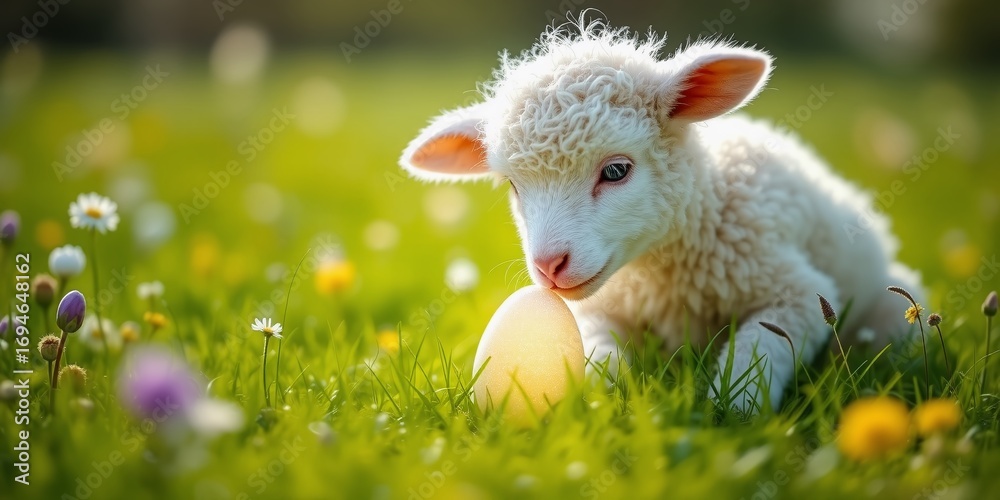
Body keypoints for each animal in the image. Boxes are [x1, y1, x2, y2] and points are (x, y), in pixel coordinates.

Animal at [398, 22, 924, 413]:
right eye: (513, 185)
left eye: (616, 170)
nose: (549, 266)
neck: (663, 268)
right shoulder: (599, 309)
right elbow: (600, 354)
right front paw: (604, 401)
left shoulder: (797, 295)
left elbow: (757, 350)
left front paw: (733, 412)